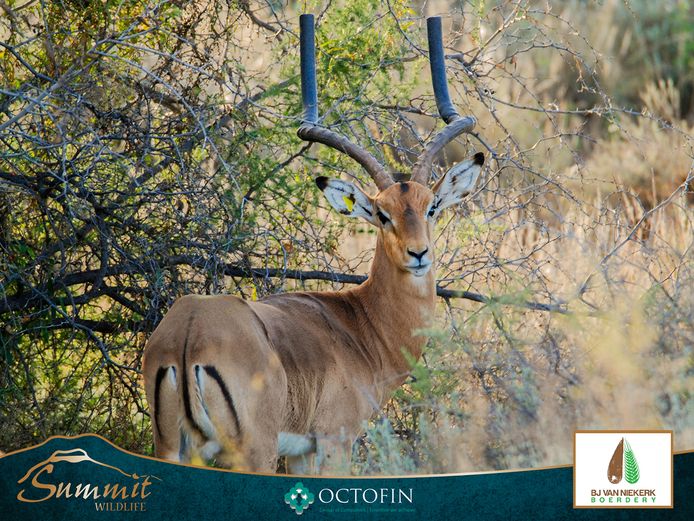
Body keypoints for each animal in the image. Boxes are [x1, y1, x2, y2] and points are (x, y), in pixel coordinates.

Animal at [142, 15, 485, 474]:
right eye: (382, 213)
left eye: (430, 207)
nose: (418, 255)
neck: (359, 325)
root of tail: (188, 331)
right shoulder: (333, 441)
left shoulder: (300, 451)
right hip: (254, 451)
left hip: (172, 448)